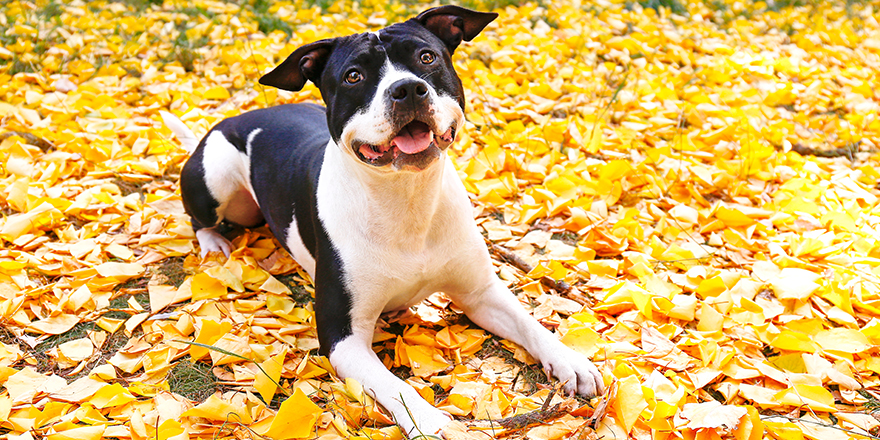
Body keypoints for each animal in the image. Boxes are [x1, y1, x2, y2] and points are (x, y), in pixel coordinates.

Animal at [163, 6, 604, 436]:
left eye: (426, 58)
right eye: (353, 76)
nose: (407, 89)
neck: (406, 201)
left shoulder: (481, 294)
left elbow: (530, 323)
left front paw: (570, 359)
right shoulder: (344, 338)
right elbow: (397, 387)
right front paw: (431, 422)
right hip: (216, 175)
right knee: (200, 217)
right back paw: (214, 244)